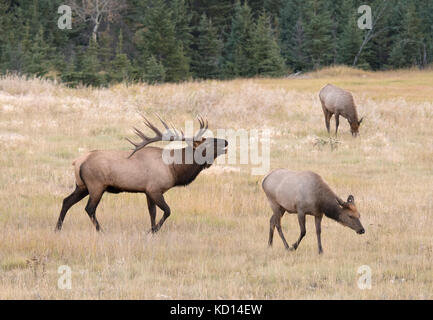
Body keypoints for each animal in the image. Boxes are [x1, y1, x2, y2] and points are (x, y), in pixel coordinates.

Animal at [55, 115, 228, 232]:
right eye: (209, 142)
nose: (226, 141)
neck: (174, 169)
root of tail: (77, 161)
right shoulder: (154, 189)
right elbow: (167, 211)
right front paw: (153, 230)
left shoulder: (148, 191)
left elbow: (152, 213)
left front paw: (152, 230)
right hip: (96, 185)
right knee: (89, 209)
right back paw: (101, 230)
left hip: (82, 186)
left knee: (66, 201)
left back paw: (58, 228)